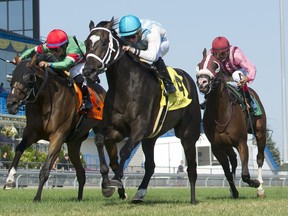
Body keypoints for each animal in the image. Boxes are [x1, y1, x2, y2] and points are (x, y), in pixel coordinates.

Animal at [3, 54, 108, 202]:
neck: (45, 101)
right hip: (74, 143)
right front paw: (9, 179)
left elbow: (45, 169)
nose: (11, 104)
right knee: (81, 172)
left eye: (29, 79)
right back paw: (79, 197)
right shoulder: (31, 133)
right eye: (12, 78)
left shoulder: (58, 136)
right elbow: (18, 149)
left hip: (100, 129)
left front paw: (37, 197)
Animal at [82, 17, 201, 203]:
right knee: (151, 166)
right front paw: (106, 184)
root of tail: (188, 79)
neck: (125, 86)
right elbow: (99, 139)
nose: (88, 71)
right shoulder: (117, 130)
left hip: (188, 134)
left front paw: (115, 180)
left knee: (192, 167)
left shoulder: (138, 129)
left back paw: (193, 199)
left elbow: (124, 151)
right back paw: (140, 193)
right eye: (87, 43)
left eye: (103, 42)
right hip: (150, 138)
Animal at [197, 48, 266, 197]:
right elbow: (227, 172)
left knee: (259, 157)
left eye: (215, 65)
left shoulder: (241, 142)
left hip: (260, 132)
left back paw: (260, 188)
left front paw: (254, 183)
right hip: (227, 145)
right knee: (233, 159)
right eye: (199, 65)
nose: (202, 82)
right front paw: (234, 191)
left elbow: (245, 174)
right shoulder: (217, 146)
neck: (221, 114)